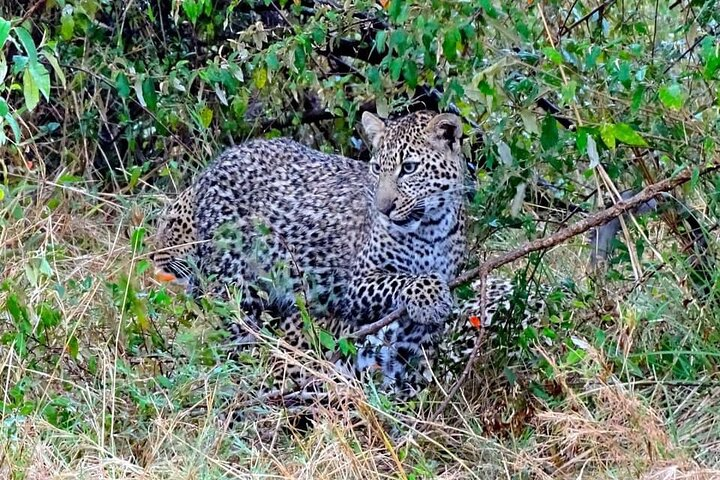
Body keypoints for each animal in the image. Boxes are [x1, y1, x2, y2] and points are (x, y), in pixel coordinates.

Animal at [149, 109, 560, 398]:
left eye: (409, 168)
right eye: (377, 169)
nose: (384, 207)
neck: (429, 227)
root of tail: (217, 163)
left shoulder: (415, 330)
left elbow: (412, 360)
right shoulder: (349, 284)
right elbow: (402, 280)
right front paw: (429, 295)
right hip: (238, 287)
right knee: (237, 339)